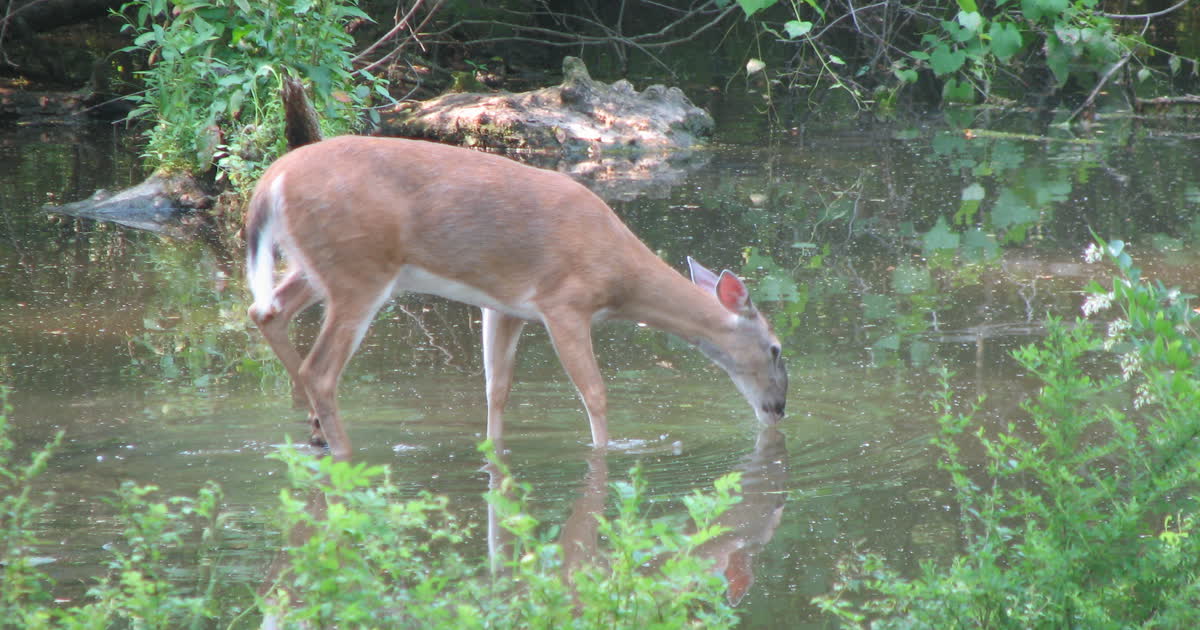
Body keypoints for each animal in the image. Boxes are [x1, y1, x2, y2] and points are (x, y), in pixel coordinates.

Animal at [245, 135, 788, 460]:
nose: (779, 408)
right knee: (320, 367)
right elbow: (595, 392)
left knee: (266, 311)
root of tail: (272, 181)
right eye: (776, 348)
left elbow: (497, 388)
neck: (622, 277)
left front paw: (494, 451)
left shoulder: (503, 305)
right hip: (359, 270)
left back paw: (313, 430)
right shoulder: (564, 302)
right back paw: (343, 450)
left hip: (317, 267)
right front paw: (607, 452)